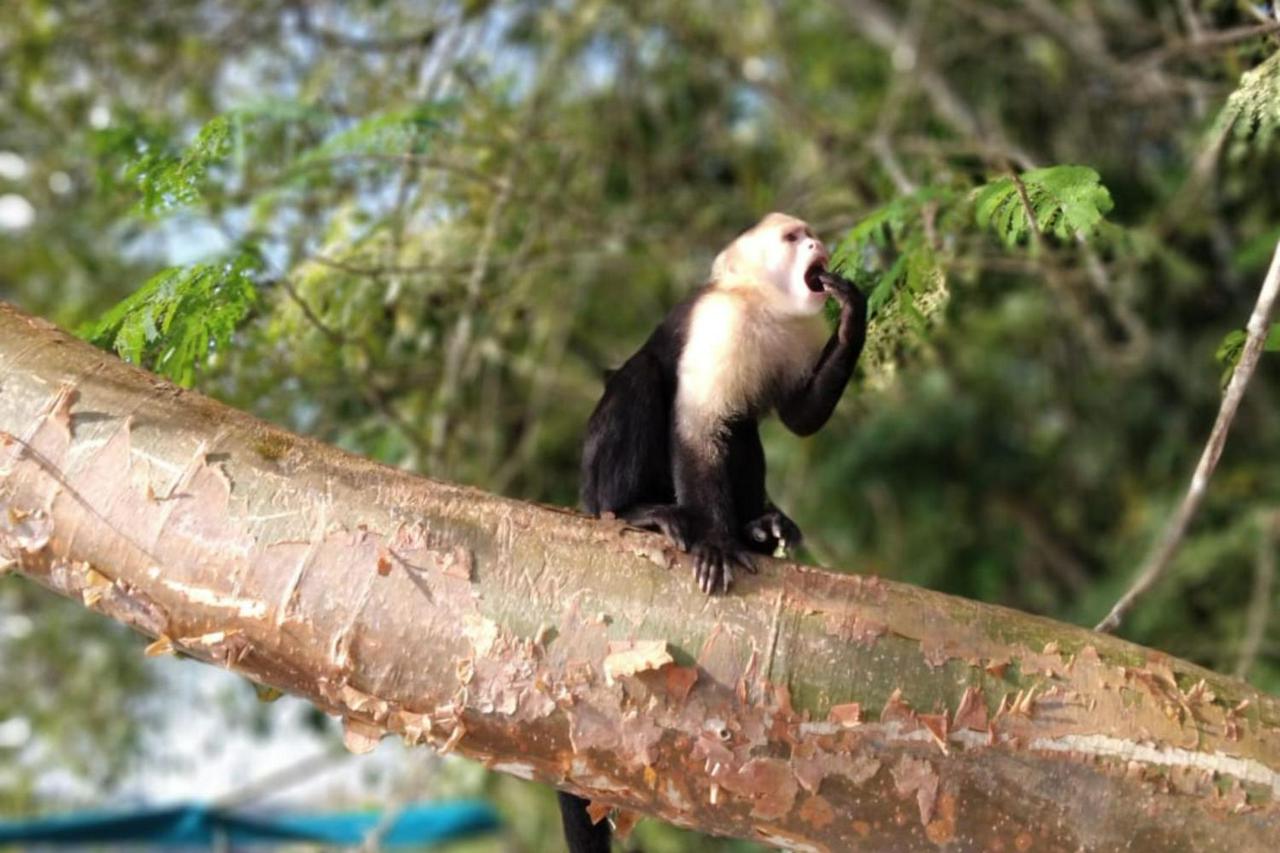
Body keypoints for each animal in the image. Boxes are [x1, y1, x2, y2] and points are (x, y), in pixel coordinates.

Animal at [559, 212, 866, 851]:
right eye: (792, 238)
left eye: (808, 234)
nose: (816, 244)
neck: (764, 308)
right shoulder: (722, 327)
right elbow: (698, 429)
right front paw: (715, 544)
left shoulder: (798, 333)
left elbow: (799, 418)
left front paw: (855, 312)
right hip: (598, 477)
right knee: (646, 378)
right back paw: (637, 512)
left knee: (743, 422)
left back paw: (759, 525)